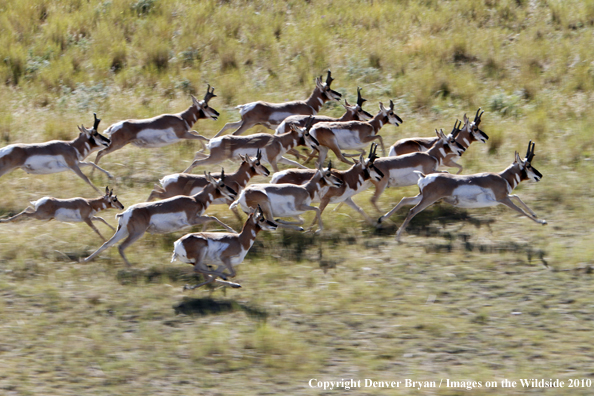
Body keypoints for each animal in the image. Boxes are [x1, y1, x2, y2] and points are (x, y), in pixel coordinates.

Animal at [84, 172, 236, 268]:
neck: (196, 199)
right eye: (222, 184)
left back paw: (85, 260)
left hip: (123, 232)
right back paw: (130, 266)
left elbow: (209, 220)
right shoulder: (193, 220)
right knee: (121, 247)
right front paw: (233, 231)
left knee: (107, 244)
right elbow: (213, 218)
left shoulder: (197, 219)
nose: (234, 193)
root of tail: (125, 213)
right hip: (136, 233)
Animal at [183, 117, 320, 173]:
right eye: (306, 133)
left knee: (197, 155)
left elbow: (296, 163)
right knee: (196, 162)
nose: (317, 143)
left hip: (214, 158)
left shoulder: (279, 158)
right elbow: (277, 171)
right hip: (215, 159)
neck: (278, 140)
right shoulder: (273, 161)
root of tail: (214, 141)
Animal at [213, 70, 342, 138]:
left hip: (243, 122)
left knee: (228, 125)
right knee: (234, 133)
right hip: (248, 124)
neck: (307, 104)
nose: (339, 95)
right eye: (328, 88)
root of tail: (245, 106)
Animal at [382, 142, 544, 241]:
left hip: (421, 197)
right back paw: (397, 236)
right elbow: (520, 209)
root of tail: (424, 176)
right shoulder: (503, 198)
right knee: (412, 211)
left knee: (404, 200)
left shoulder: (503, 198)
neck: (502, 177)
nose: (540, 175)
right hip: (428, 200)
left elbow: (517, 196)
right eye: (528, 165)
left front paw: (537, 216)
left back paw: (382, 219)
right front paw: (541, 221)